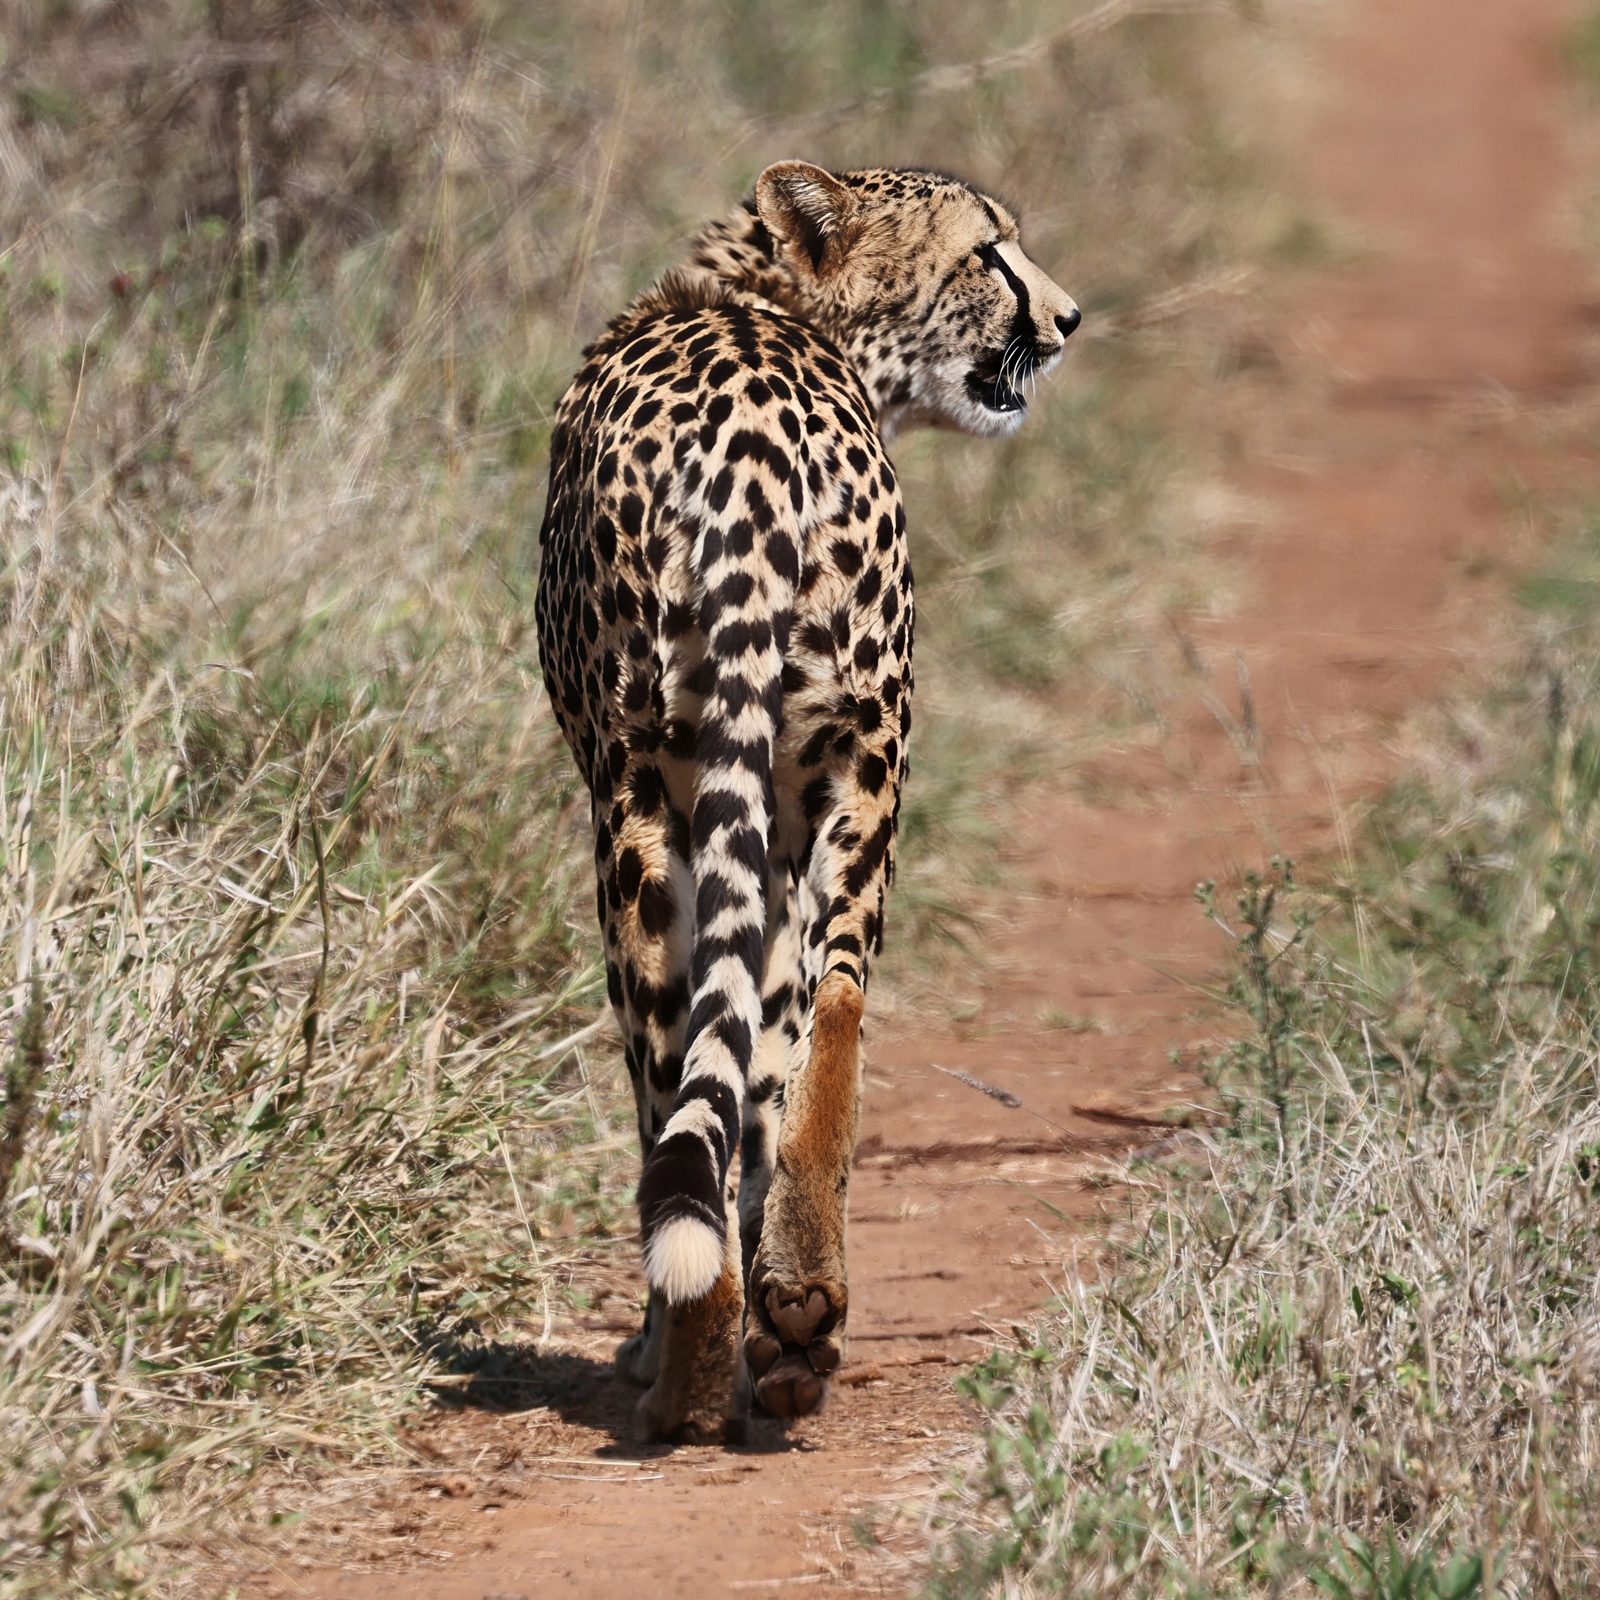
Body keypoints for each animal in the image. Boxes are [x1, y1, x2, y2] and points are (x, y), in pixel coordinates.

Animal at [535, 160, 1080, 1443]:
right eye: (987, 253)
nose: (1067, 318)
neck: (767, 301)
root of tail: (751, 446)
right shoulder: (780, 814)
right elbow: (765, 1051)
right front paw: (781, 1323)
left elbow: (689, 1077)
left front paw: (676, 1341)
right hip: (857, 760)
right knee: (835, 996)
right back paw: (799, 1310)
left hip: (636, 801)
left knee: (663, 1051)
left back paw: (685, 1375)